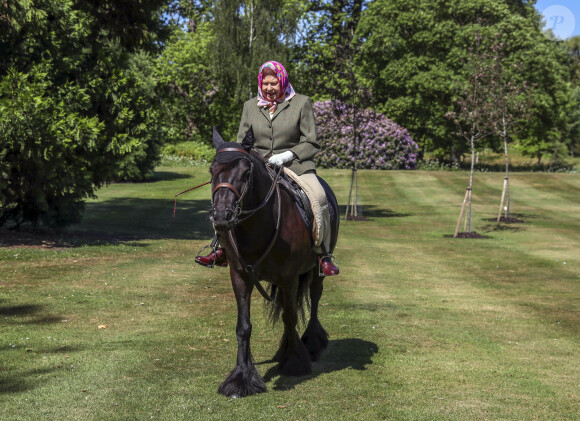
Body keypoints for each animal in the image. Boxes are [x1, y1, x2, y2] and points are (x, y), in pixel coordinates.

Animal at [208, 126, 338, 396]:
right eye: (211, 171)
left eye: (246, 173)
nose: (222, 216)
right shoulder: (240, 276)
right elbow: (243, 326)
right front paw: (241, 377)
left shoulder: (289, 277)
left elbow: (290, 318)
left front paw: (294, 362)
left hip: (316, 270)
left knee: (315, 299)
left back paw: (311, 343)